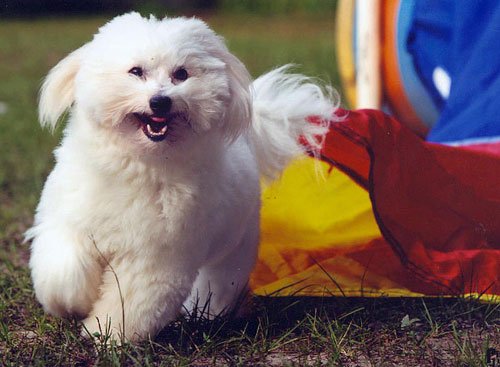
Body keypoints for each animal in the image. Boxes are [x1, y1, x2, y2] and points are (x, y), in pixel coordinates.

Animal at [26, 12, 336, 344]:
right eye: (136, 71)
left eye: (181, 74)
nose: (160, 101)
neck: (139, 162)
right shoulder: (70, 224)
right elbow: (63, 272)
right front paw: (77, 304)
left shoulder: (155, 259)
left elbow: (130, 303)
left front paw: (105, 334)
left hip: (234, 247)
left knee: (219, 283)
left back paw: (211, 313)